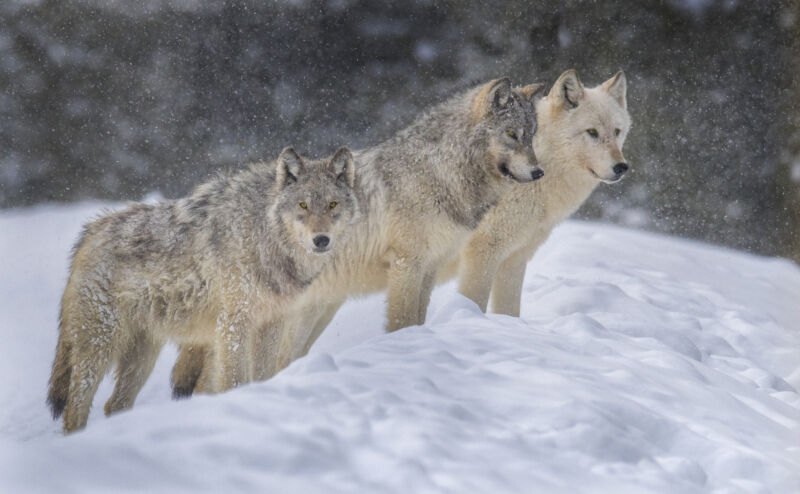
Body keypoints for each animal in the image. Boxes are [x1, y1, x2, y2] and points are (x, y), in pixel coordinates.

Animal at [48, 147, 360, 432]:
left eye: (332, 205)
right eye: (303, 205)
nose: (321, 240)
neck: (263, 235)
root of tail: (89, 232)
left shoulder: (272, 323)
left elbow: (262, 374)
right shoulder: (233, 325)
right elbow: (233, 379)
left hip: (142, 356)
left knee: (113, 405)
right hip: (101, 347)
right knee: (75, 411)